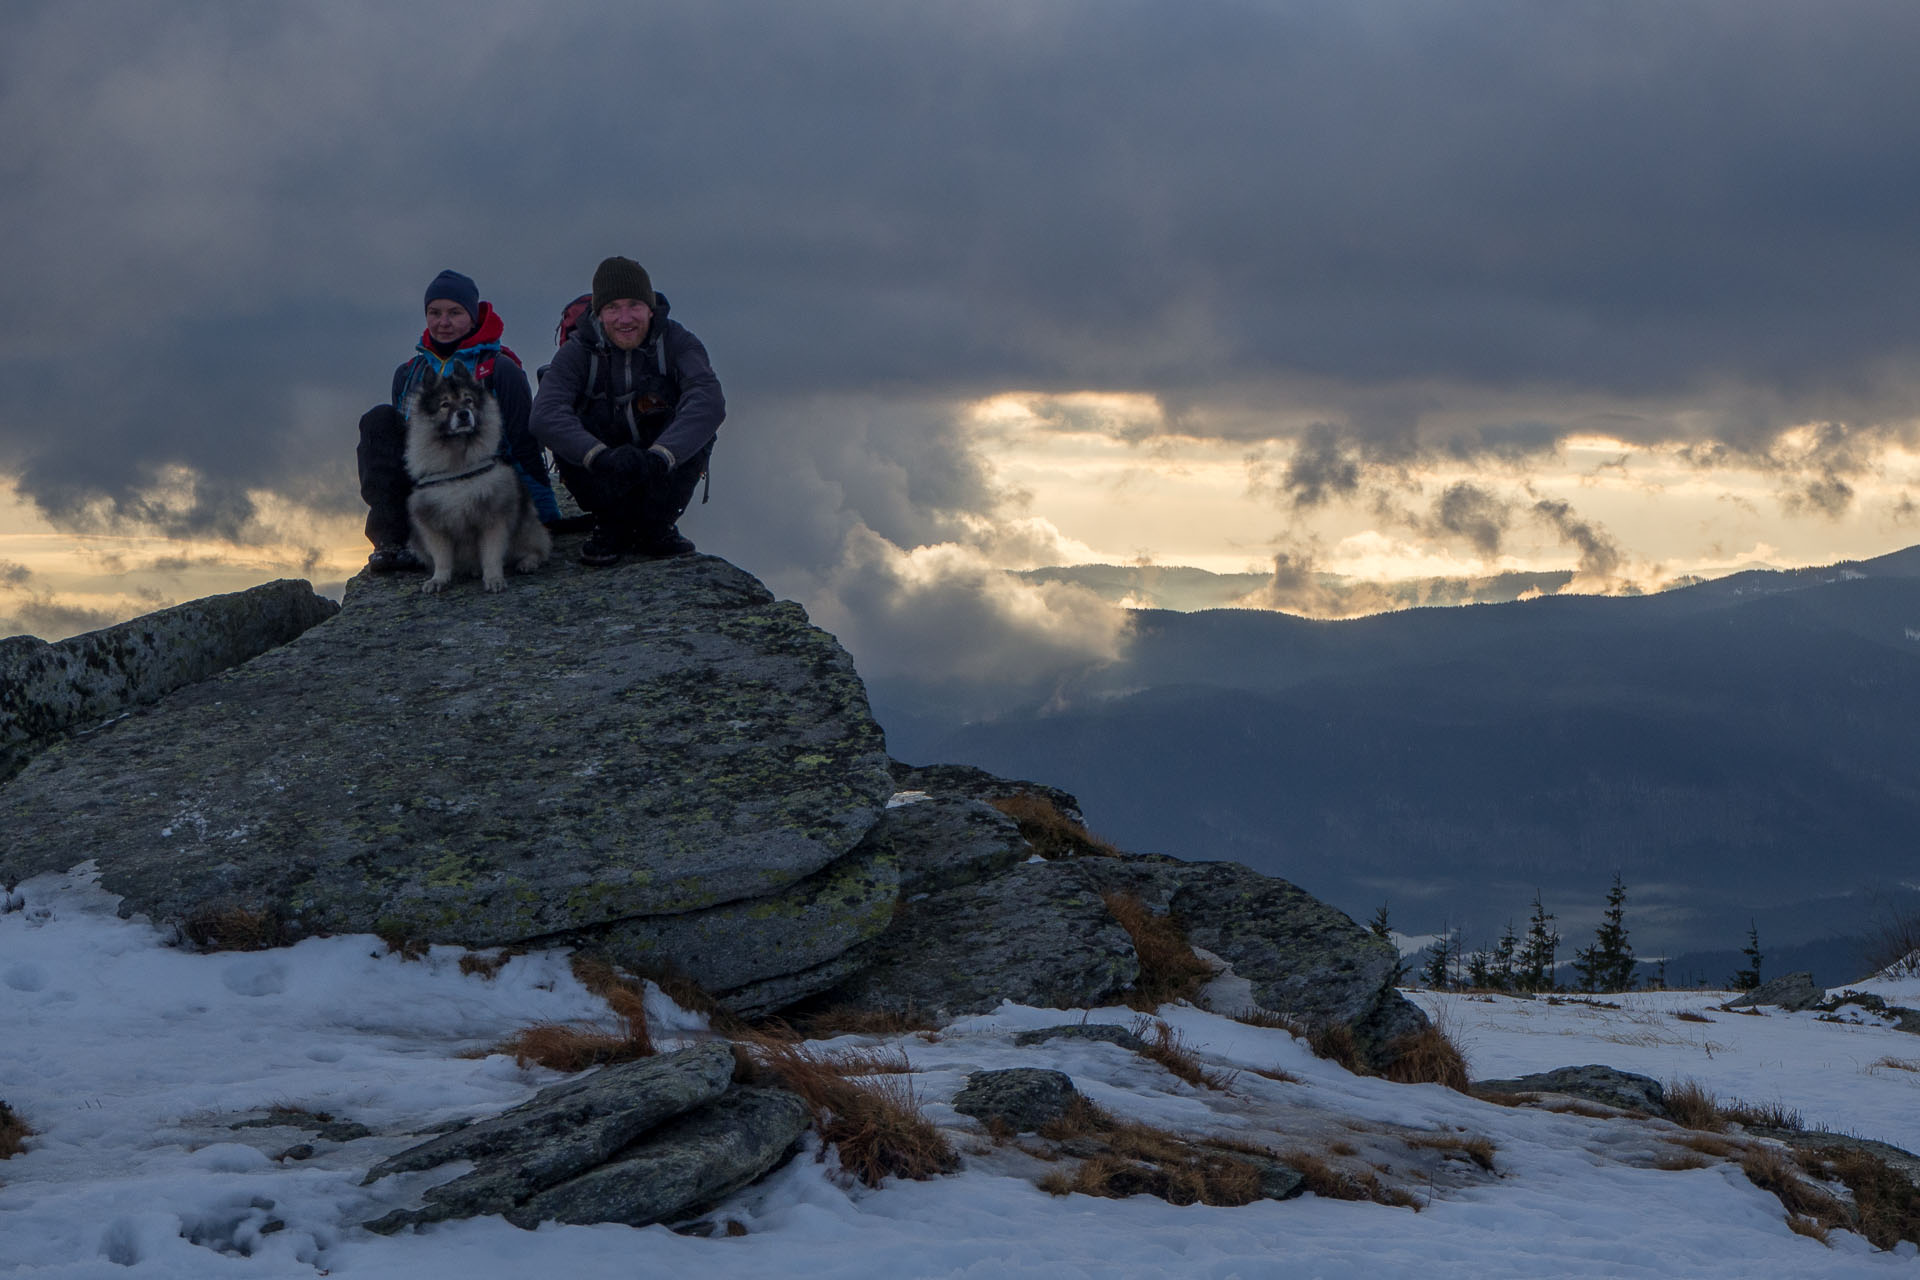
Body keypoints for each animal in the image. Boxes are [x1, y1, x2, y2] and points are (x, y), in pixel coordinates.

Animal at [405, 362, 552, 594]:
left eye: (468, 400)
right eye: (445, 404)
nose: (464, 414)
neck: (458, 461)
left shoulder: (492, 518)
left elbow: (491, 555)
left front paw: (494, 579)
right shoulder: (434, 524)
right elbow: (442, 559)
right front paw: (438, 580)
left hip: (526, 528)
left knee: (537, 548)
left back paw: (527, 562)